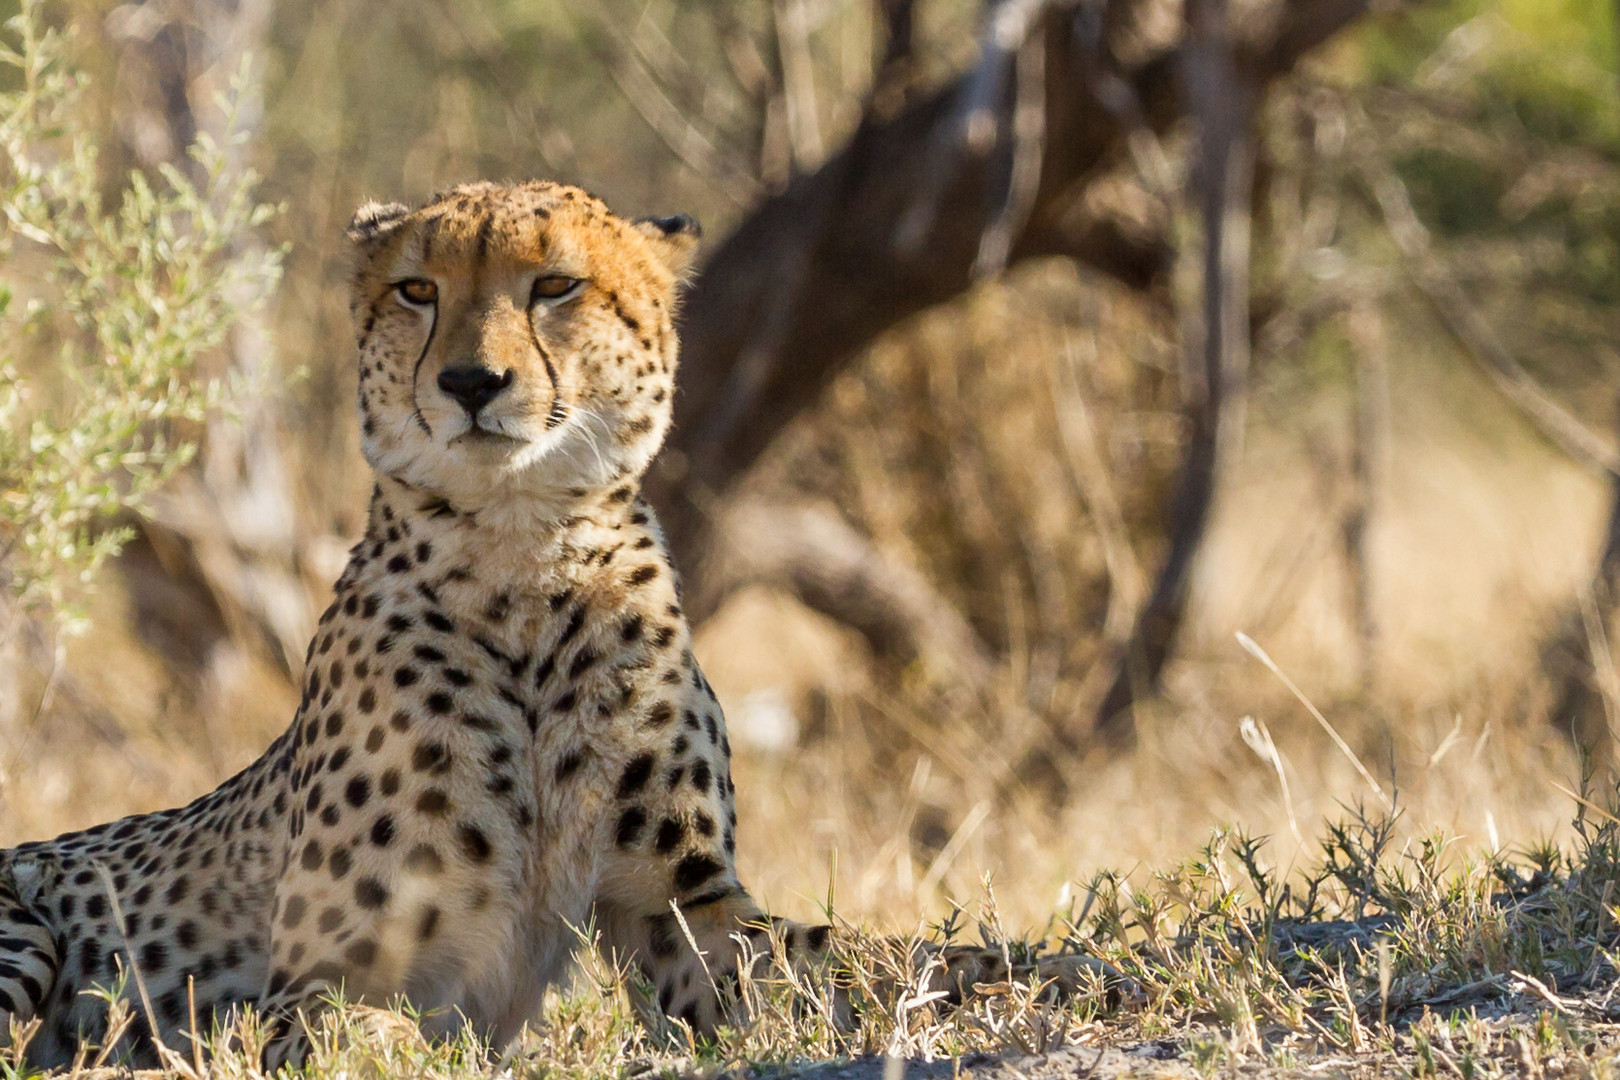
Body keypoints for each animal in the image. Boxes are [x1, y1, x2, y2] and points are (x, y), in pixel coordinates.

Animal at [0, 181, 1088, 1068]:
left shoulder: (681, 907)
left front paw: (1064, 971)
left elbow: (864, 958)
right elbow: (364, 1027)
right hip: (25, 924)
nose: (469, 384)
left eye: (555, 286)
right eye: (417, 291)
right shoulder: (315, 971)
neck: (521, 555)